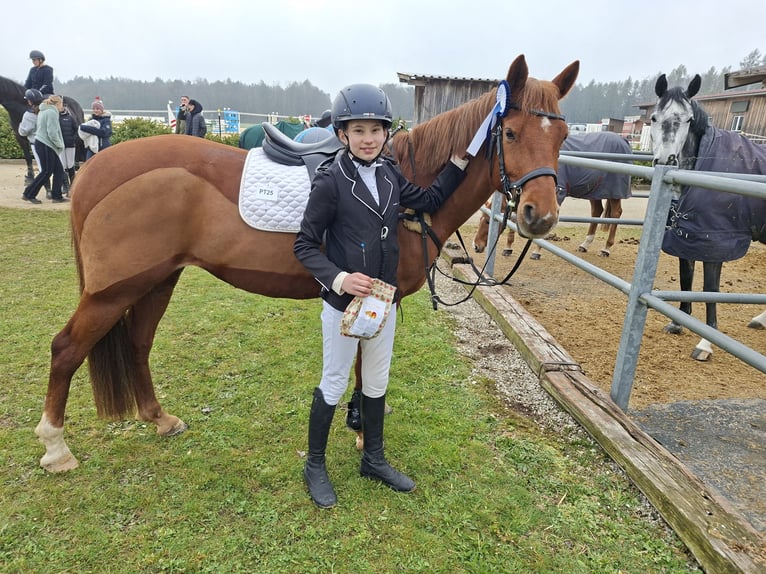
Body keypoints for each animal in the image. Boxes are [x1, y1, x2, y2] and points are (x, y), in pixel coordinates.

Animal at [34, 54, 579, 473]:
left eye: (563, 136)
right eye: (510, 133)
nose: (541, 216)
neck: (403, 185)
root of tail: (97, 168)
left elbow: (361, 366)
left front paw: (358, 423)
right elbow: (360, 366)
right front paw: (360, 431)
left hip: (156, 281)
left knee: (138, 342)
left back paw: (158, 418)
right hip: (114, 291)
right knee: (66, 349)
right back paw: (56, 448)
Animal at [473, 131, 632, 258]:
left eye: (487, 221)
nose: (476, 245)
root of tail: (623, 140)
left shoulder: (555, 196)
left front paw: (537, 251)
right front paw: (508, 248)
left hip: (615, 192)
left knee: (616, 213)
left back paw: (606, 248)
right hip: (594, 191)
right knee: (596, 211)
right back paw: (585, 244)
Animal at [651, 73, 766, 360]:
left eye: (688, 119)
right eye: (654, 118)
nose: (666, 160)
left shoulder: (715, 242)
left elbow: (710, 290)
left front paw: (705, 343)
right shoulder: (686, 237)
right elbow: (686, 279)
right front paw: (678, 322)